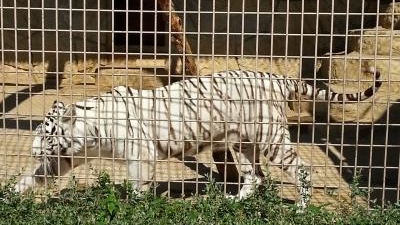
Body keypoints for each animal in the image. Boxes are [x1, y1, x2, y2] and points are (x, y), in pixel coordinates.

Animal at [13, 68, 382, 200]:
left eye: (46, 135)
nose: (32, 151)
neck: (89, 132)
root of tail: (275, 76)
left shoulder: (140, 157)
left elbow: (138, 188)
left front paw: (137, 207)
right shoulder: (66, 158)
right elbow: (37, 176)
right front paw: (13, 193)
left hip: (272, 140)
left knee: (302, 171)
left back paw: (301, 210)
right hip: (242, 145)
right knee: (256, 177)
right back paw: (236, 203)